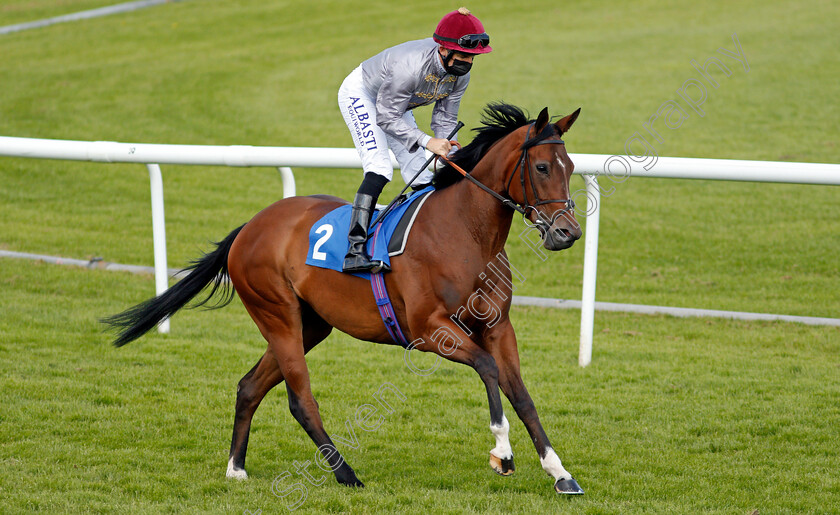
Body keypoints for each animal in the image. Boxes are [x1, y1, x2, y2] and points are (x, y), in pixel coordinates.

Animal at [103, 102, 584, 496]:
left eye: (571, 166)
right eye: (543, 167)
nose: (568, 233)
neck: (464, 233)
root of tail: (250, 226)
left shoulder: (499, 327)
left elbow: (521, 394)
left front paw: (559, 472)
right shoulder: (430, 331)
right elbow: (487, 369)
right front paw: (502, 454)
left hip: (311, 324)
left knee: (249, 386)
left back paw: (236, 468)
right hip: (276, 315)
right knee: (300, 399)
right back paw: (345, 473)